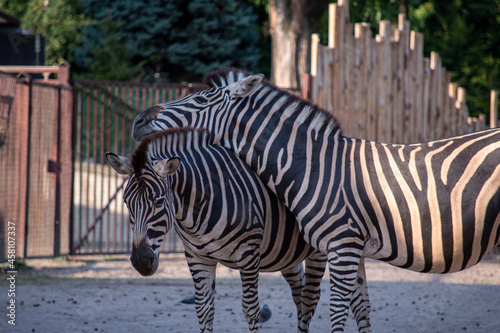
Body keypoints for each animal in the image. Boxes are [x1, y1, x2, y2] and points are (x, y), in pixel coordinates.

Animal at [104, 127, 328, 332]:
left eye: (158, 202)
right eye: (126, 203)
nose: (141, 261)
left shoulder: (248, 255)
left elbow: (250, 310)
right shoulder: (197, 257)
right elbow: (204, 309)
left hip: (321, 248)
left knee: (310, 300)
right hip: (287, 253)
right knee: (299, 295)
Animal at [132, 67, 500, 332]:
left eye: (201, 100)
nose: (138, 120)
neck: (315, 167)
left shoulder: (342, 247)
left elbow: (336, 311)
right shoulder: (354, 248)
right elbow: (360, 308)